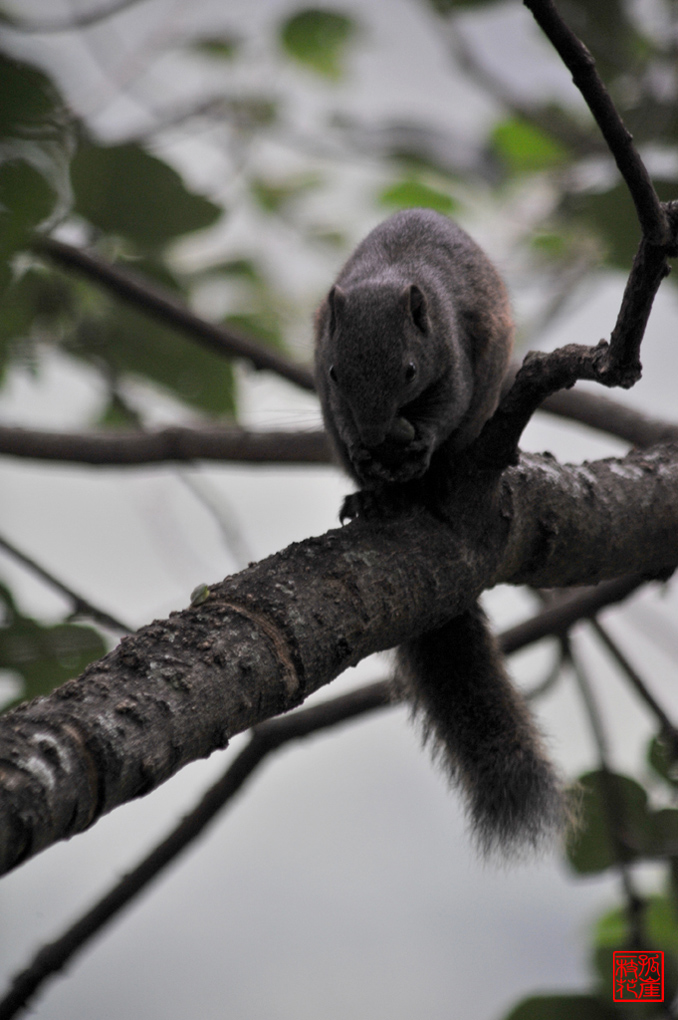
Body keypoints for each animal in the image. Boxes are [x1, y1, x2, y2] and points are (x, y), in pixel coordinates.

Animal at [314, 205, 562, 852]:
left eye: (407, 369)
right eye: (334, 371)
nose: (376, 435)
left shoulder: (454, 352)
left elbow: (447, 403)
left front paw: (420, 443)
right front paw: (367, 459)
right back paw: (371, 494)